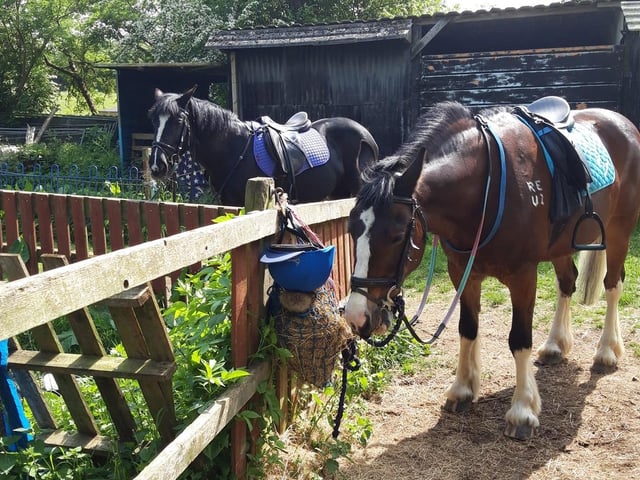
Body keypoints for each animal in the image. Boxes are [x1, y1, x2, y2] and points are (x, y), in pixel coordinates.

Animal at [147, 86, 379, 206]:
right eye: (153, 120)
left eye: (178, 120)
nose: (157, 165)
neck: (233, 149)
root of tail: (366, 134)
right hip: (339, 192)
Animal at [344, 99, 640, 440]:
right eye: (351, 229)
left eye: (395, 235)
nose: (356, 316)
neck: (485, 186)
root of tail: (620, 122)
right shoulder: (463, 272)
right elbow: (467, 329)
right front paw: (462, 389)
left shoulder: (523, 276)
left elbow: (519, 340)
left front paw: (522, 410)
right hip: (562, 246)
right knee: (568, 283)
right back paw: (555, 345)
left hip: (619, 232)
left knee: (613, 285)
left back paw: (606, 351)